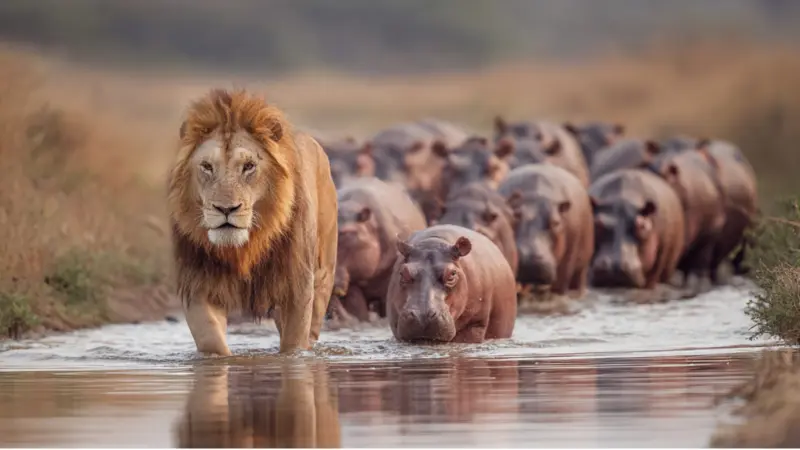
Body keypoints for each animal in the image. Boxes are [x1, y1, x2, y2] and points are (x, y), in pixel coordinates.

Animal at [168, 88, 338, 356]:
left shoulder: (297, 286)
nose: (226, 209)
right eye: (207, 166)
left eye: (249, 166)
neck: (243, 248)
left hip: (323, 274)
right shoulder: (197, 284)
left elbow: (293, 344)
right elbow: (211, 340)